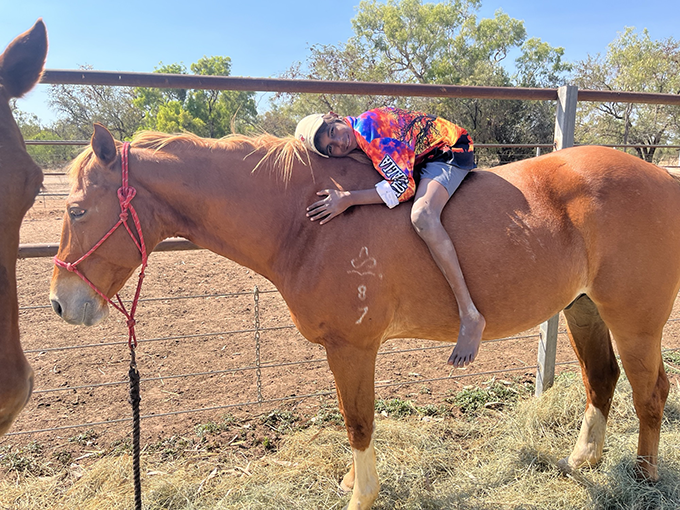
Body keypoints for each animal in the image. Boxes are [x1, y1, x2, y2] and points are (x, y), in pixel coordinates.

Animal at [50, 125, 676, 508]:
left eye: (76, 210)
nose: (60, 303)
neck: (302, 222)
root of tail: (663, 177)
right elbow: (352, 421)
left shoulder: (353, 348)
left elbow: (358, 422)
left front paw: (361, 493)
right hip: (584, 309)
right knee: (602, 380)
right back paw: (583, 459)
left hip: (635, 322)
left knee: (650, 392)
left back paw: (644, 476)